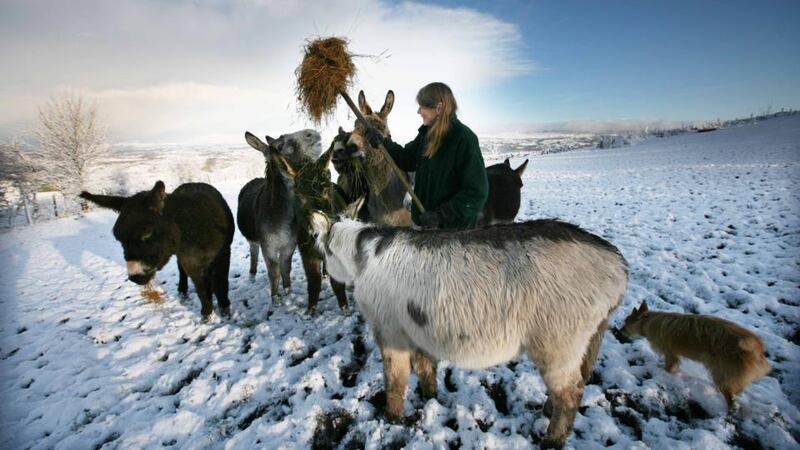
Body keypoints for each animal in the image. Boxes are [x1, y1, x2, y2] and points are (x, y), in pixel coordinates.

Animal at [620, 302, 772, 412]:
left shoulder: (670, 353)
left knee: (730, 398)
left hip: (720, 372)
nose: (618, 331)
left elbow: (668, 367)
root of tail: (756, 347)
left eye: (625, 323)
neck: (649, 321)